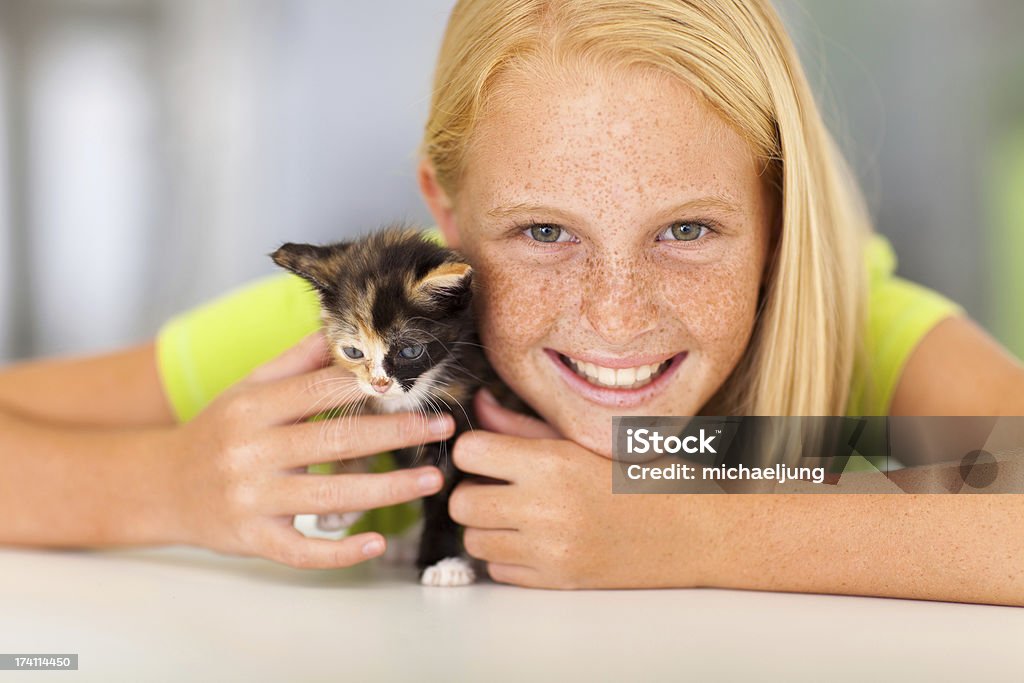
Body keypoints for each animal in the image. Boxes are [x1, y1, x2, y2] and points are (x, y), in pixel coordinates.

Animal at [270, 225, 493, 589]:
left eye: (410, 351)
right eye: (353, 352)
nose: (380, 384)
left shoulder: (461, 404)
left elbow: (444, 492)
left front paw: (442, 561)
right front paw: (342, 503)